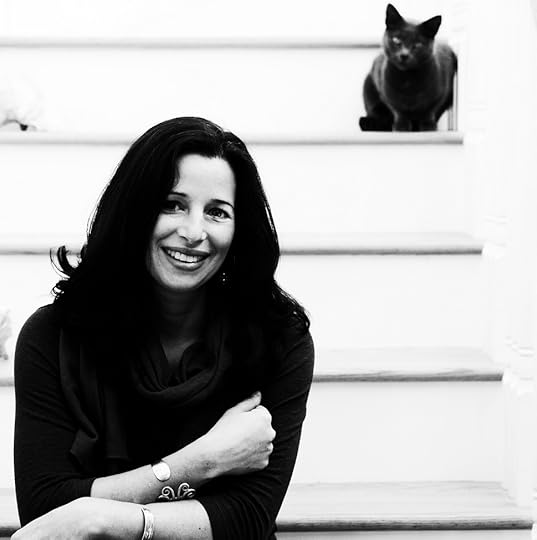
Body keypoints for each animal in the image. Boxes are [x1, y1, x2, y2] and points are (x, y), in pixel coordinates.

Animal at [359, 4, 457, 132]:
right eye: (396, 40)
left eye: (417, 44)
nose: (404, 55)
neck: (408, 81)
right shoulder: (387, 94)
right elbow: (399, 111)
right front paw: (401, 127)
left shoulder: (441, 93)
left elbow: (429, 111)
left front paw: (428, 127)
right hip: (369, 88)